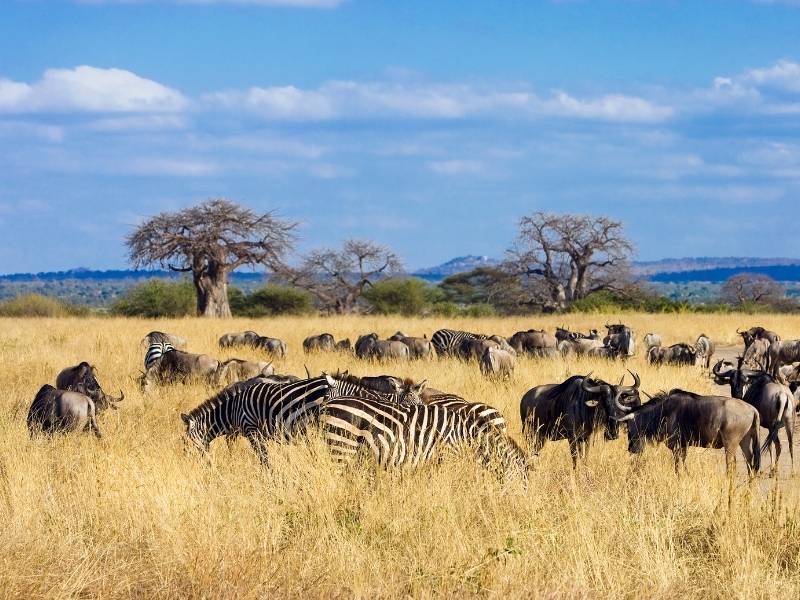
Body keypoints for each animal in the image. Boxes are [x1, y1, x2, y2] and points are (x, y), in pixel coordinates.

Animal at [181, 376, 332, 460]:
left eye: (185, 441)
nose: (187, 461)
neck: (232, 411)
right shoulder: (259, 433)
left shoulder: (250, 429)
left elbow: (262, 456)